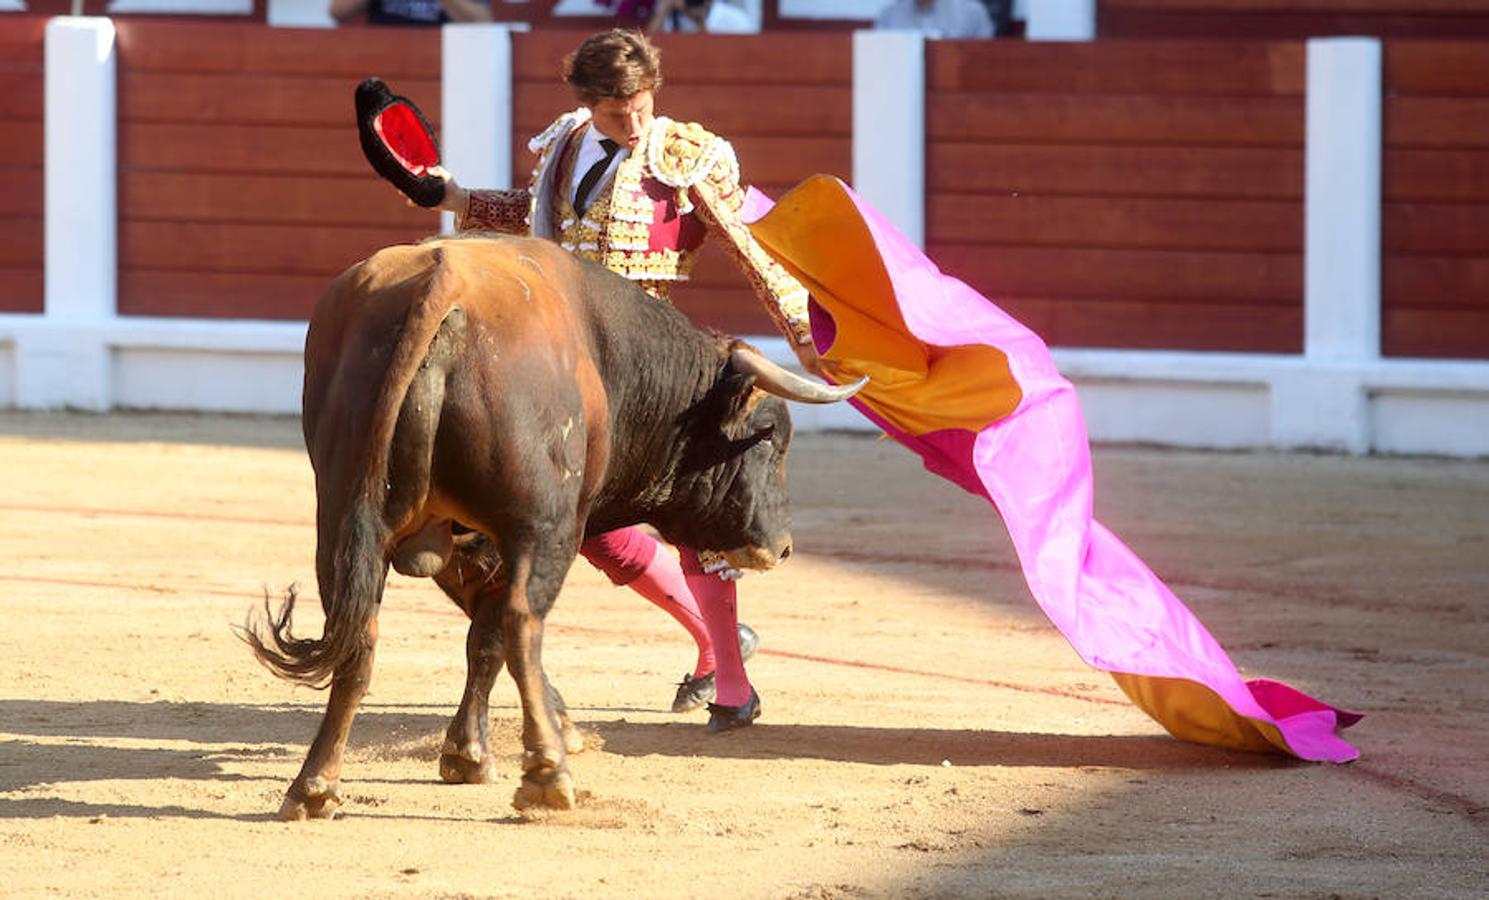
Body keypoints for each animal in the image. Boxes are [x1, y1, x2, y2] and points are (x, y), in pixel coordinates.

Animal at [244, 235, 863, 816]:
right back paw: (547, 777)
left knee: (358, 631)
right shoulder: (522, 531)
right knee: (519, 622)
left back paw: (315, 786)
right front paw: (482, 753)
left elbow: (478, 636)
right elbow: (494, 635)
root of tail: (442, 288)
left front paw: (472, 752)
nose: (782, 547)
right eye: (773, 436)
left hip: (342, 517)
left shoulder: (463, 540)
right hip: (545, 528)